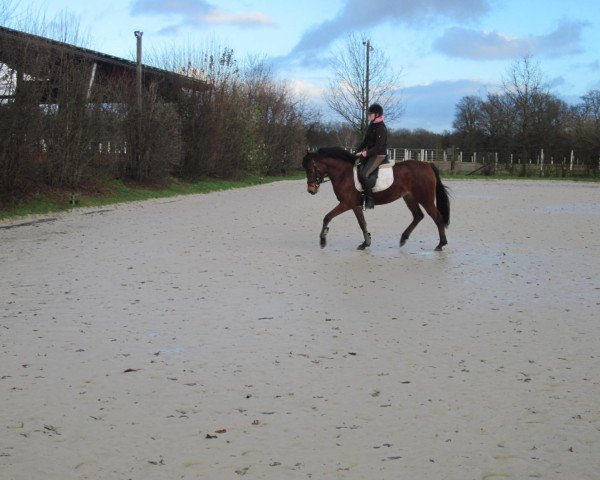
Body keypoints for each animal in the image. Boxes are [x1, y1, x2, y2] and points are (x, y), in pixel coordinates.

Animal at [300, 146, 450, 251]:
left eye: (310, 169)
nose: (311, 190)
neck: (344, 174)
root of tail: (428, 165)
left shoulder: (347, 203)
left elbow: (327, 217)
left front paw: (322, 240)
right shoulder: (355, 205)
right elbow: (362, 223)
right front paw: (365, 243)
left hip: (425, 199)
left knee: (437, 217)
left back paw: (441, 244)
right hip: (409, 197)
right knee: (418, 216)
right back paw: (403, 238)